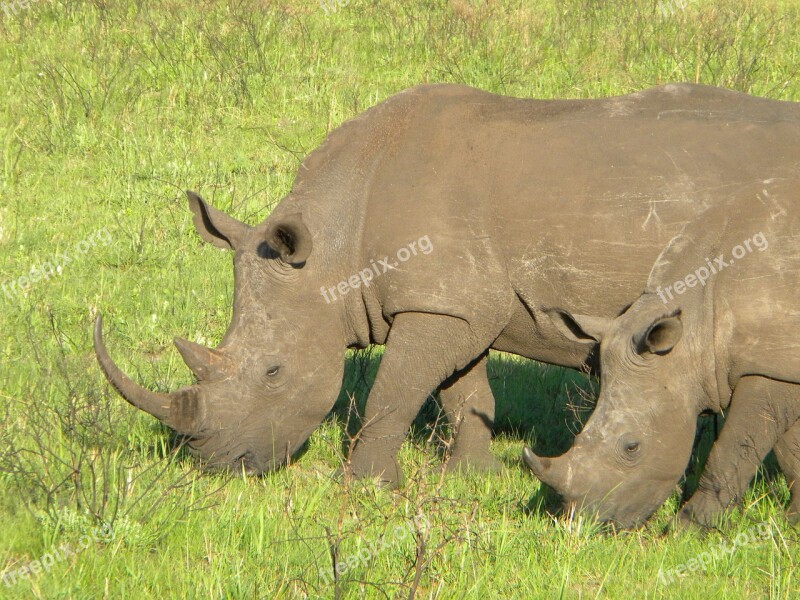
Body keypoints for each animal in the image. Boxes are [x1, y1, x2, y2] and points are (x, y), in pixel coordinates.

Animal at [92, 83, 800, 482]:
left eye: (272, 372)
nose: (217, 466)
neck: (335, 244)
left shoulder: (438, 305)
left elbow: (393, 393)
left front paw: (365, 487)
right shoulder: (457, 305)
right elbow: (464, 391)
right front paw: (471, 477)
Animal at [520, 180, 800, 528]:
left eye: (632, 447)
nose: (584, 523)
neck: (699, 322)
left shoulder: (770, 366)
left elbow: (732, 449)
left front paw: (685, 530)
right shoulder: (779, 364)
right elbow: (791, 448)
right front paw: (794, 519)